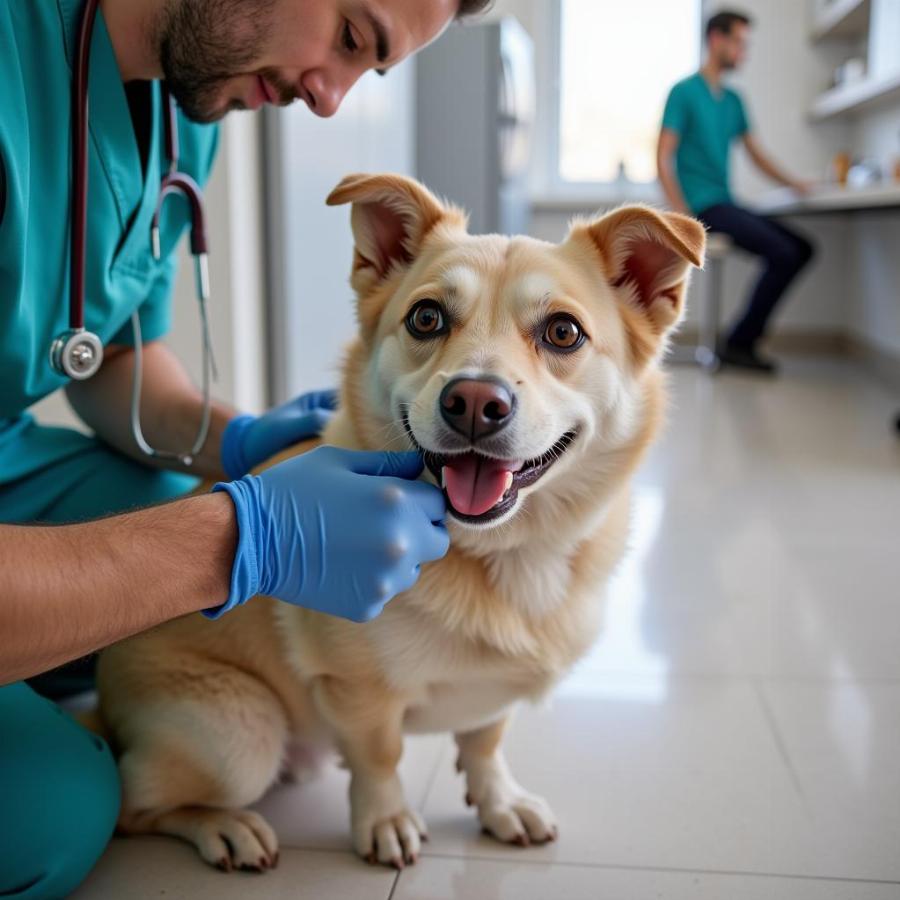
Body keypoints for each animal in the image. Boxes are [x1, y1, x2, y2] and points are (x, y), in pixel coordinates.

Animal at [96, 174, 704, 872]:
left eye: (563, 332)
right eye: (427, 318)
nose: (475, 402)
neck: (508, 552)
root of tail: (102, 704)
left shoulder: (492, 692)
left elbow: (485, 739)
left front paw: (498, 801)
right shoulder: (359, 690)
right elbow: (379, 756)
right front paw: (385, 820)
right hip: (241, 733)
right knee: (133, 805)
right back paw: (224, 827)